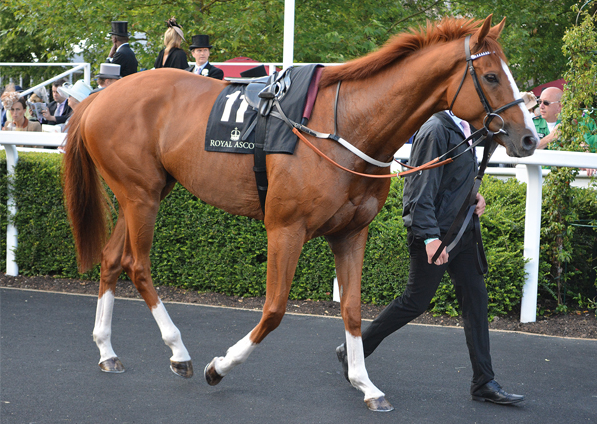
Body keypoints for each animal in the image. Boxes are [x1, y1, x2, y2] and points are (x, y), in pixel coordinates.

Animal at [64, 16, 536, 410]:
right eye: (491, 76)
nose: (529, 138)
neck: (345, 127)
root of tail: (100, 98)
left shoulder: (351, 233)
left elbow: (352, 310)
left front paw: (365, 384)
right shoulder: (284, 228)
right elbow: (274, 309)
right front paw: (220, 366)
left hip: (146, 193)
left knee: (112, 259)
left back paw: (107, 350)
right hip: (141, 195)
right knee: (137, 264)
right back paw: (179, 351)